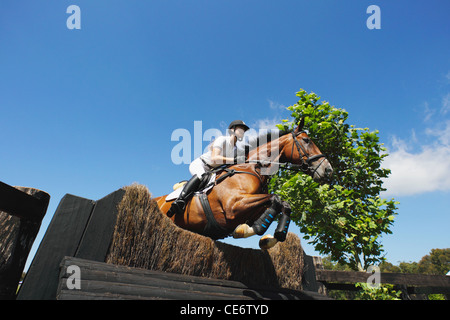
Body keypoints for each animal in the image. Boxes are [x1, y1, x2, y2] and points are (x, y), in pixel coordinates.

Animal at [156, 119, 334, 250]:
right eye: (306, 140)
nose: (329, 170)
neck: (253, 167)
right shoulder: (234, 205)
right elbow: (275, 199)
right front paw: (245, 231)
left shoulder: (251, 209)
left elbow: (283, 206)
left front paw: (268, 239)